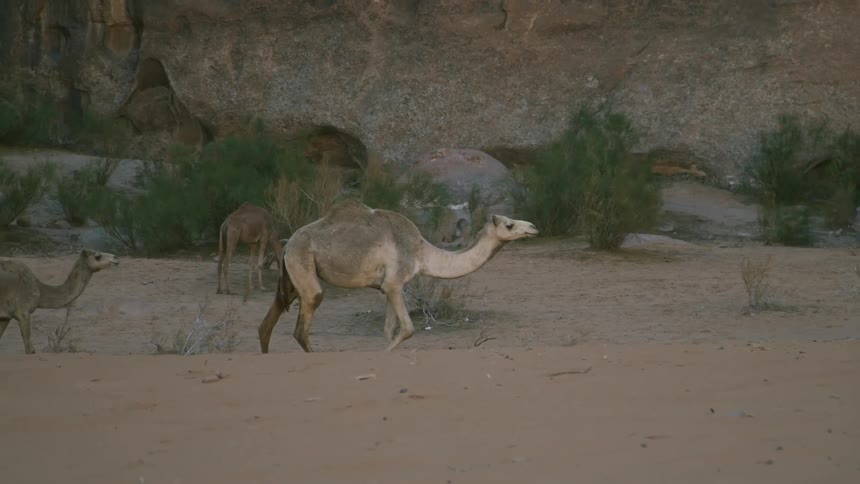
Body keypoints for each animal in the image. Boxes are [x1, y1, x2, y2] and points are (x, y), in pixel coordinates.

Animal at [257, 200, 538, 353]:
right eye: (509, 224)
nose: (533, 227)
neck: (421, 252)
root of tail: (287, 245)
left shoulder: (387, 288)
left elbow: (388, 329)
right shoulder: (395, 282)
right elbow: (408, 329)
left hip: (291, 278)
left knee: (266, 325)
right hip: (302, 264)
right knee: (303, 322)